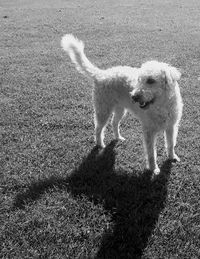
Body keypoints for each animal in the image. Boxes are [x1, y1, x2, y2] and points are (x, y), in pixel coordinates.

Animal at [61, 33, 183, 174]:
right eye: (139, 80)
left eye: (151, 80)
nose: (134, 97)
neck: (161, 107)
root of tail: (101, 74)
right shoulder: (149, 132)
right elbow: (151, 153)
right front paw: (154, 169)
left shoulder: (171, 126)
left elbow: (170, 144)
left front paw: (172, 157)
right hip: (103, 110)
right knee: (98, 128)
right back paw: (100, 144)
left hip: (120, 110)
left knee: (114, 123)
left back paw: (118, 138)